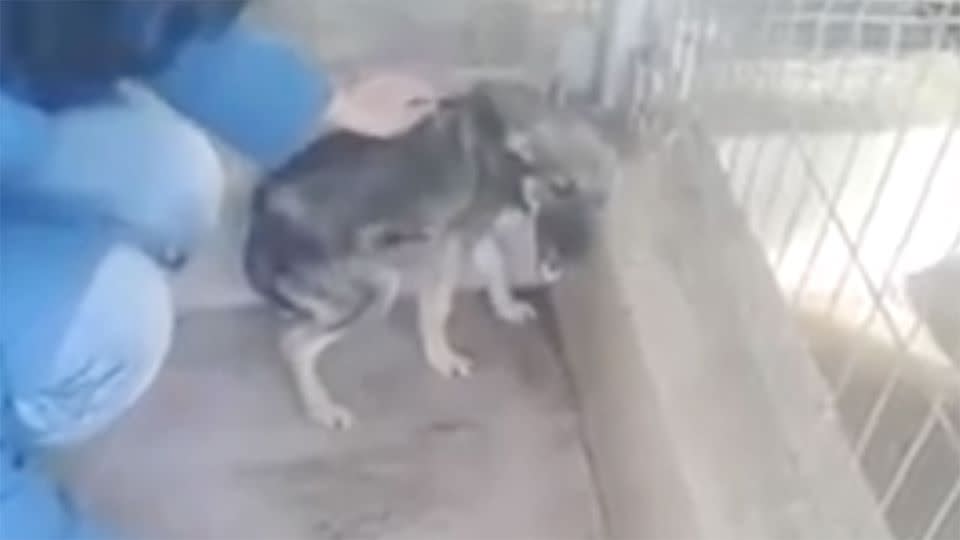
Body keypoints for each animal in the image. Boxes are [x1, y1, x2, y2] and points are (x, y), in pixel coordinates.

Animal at [244, 85, 600, 430]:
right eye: (564, 189)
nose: (560, 266)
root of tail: (263, 217)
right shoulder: (447, 244)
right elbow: (438, 309)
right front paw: (443, 359)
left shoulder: (471, 232)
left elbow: (495, 268)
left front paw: (507, 308)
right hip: (377, 288)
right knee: (294, 345)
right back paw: (322, 409)